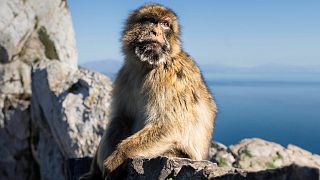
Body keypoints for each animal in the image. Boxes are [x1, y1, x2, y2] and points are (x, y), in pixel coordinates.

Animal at [80, 3, 218, 180]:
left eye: (165, 24)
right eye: (151, 20)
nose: (156, 32)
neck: (146, 66)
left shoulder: (171, 78)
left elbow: (169, 125)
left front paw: (117, 158)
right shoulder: (125, 74)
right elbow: (121, 116)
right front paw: (95, 170)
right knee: (119, 122)